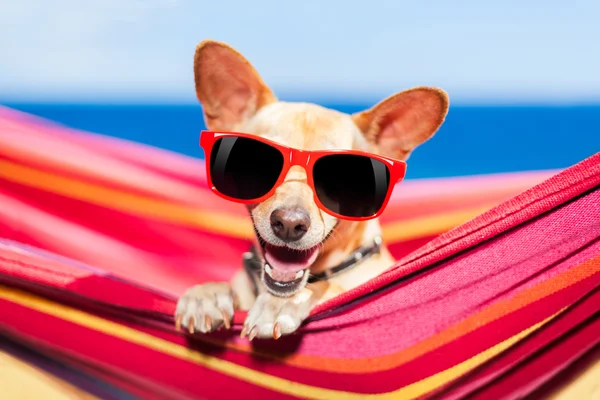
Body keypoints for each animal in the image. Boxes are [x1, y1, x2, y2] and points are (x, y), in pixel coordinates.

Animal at [172, 39, 446, 340]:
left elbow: (327, 287)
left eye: (345, 177)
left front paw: (282, 304)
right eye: (256, 163)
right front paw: (206, 295)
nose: (289, 224)